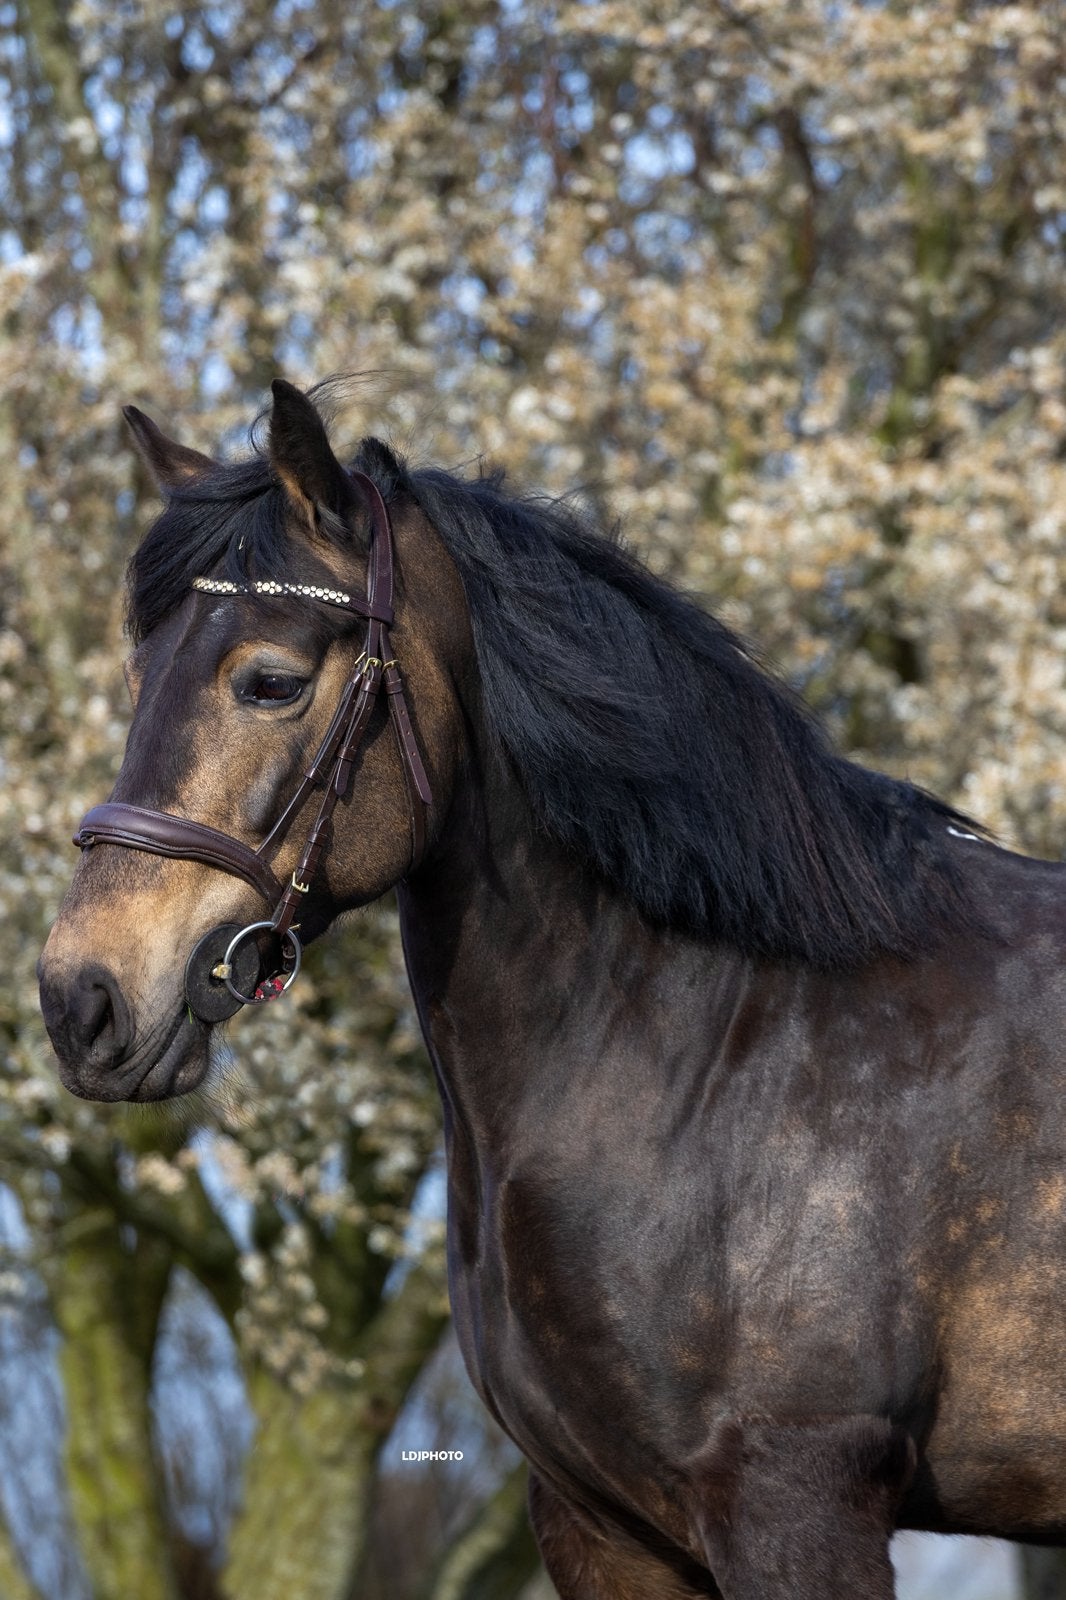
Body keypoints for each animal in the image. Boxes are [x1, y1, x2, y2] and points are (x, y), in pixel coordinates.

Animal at [38, 380, 1066, 1598]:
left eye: (271, 681)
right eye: (136, 677)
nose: (81, 999)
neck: (707, 1047)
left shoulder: (799, 1501)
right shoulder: (602, 1526)